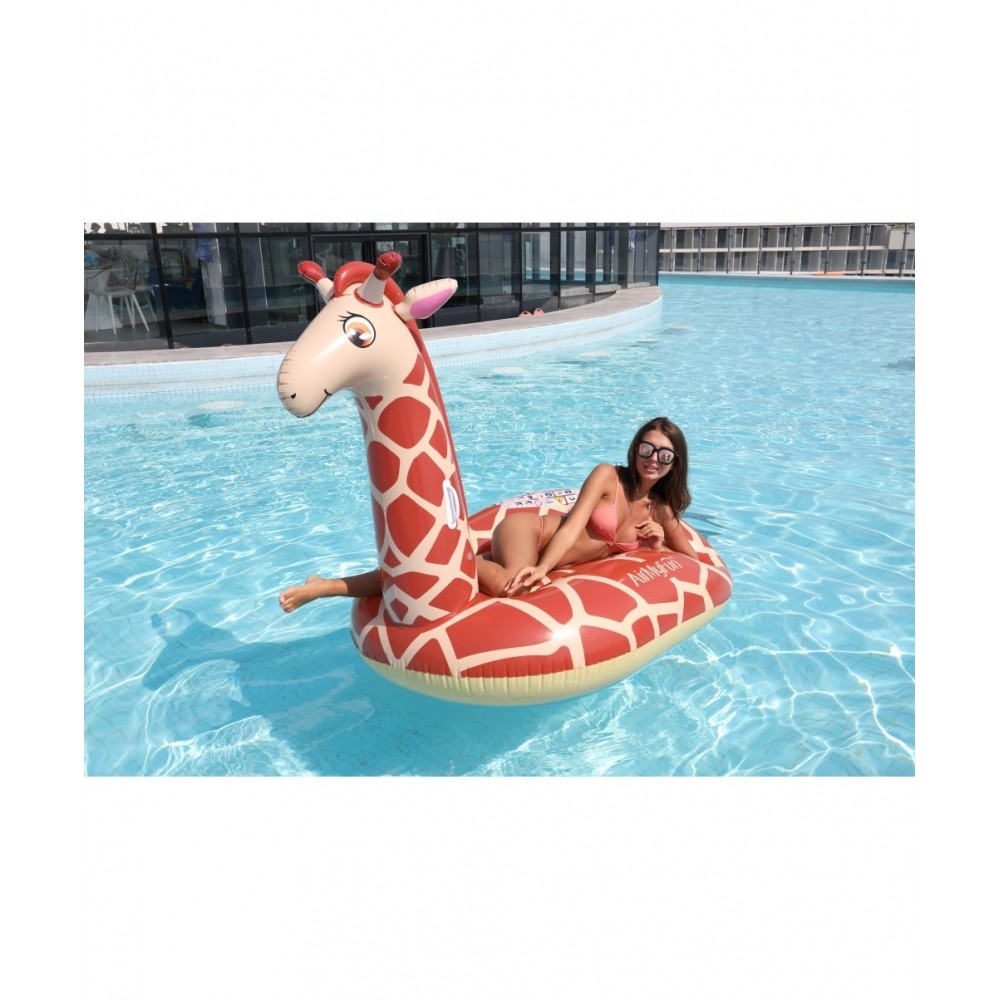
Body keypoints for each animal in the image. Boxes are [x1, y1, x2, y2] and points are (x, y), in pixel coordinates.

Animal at [277, 254, 732, 705]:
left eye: (358, 333)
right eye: (314, 318)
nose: (289, 388)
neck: (432, 614)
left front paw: (651, 541)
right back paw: (308, 589)